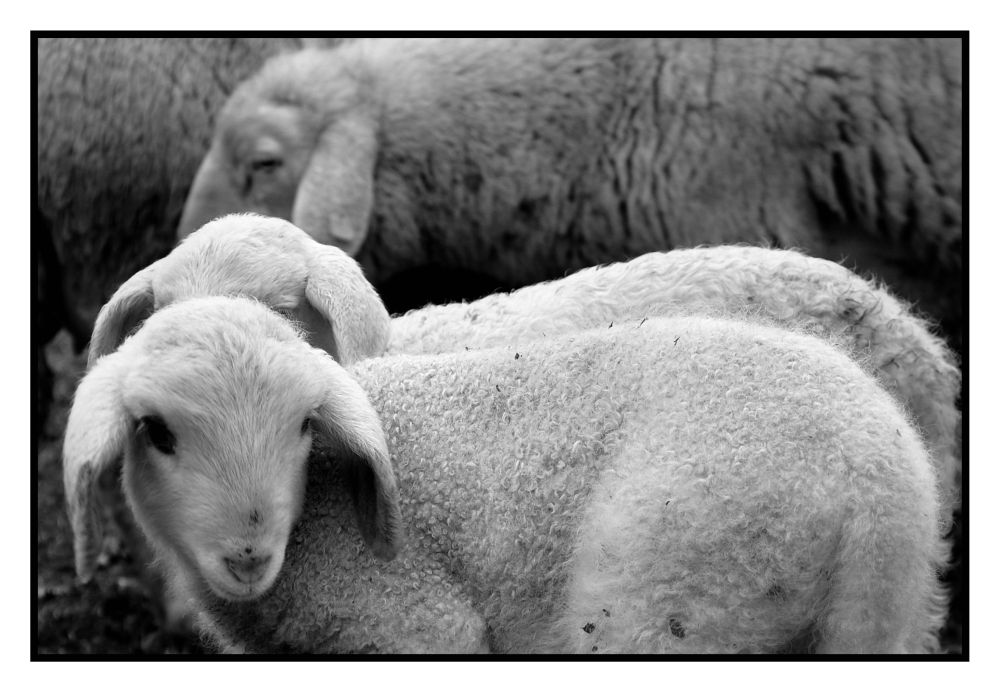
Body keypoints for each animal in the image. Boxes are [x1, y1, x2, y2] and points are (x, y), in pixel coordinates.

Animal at [64, 294, 952, 652]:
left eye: (304, 427)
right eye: (155, 433)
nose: (248, 554)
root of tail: (880, 482)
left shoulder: (416, 630)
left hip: (684, 590)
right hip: (882, 614)